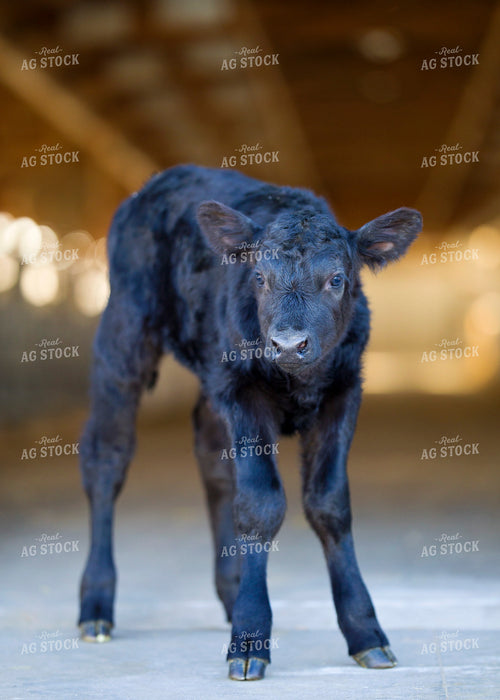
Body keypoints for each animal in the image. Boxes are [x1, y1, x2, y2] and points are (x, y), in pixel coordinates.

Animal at [78, 164, 422, 680]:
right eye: (259, 277)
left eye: (337, 279)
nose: (287, 344)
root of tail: (159, 181)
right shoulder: (243, 390)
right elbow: (261, 504)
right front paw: (250, 640)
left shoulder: (344, 389)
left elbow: (330, 505)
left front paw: (366, 633)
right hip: (123, 335)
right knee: (106, 458)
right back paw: (96, 606)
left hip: (209, 370)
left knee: (212, 461)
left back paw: (232, 588)